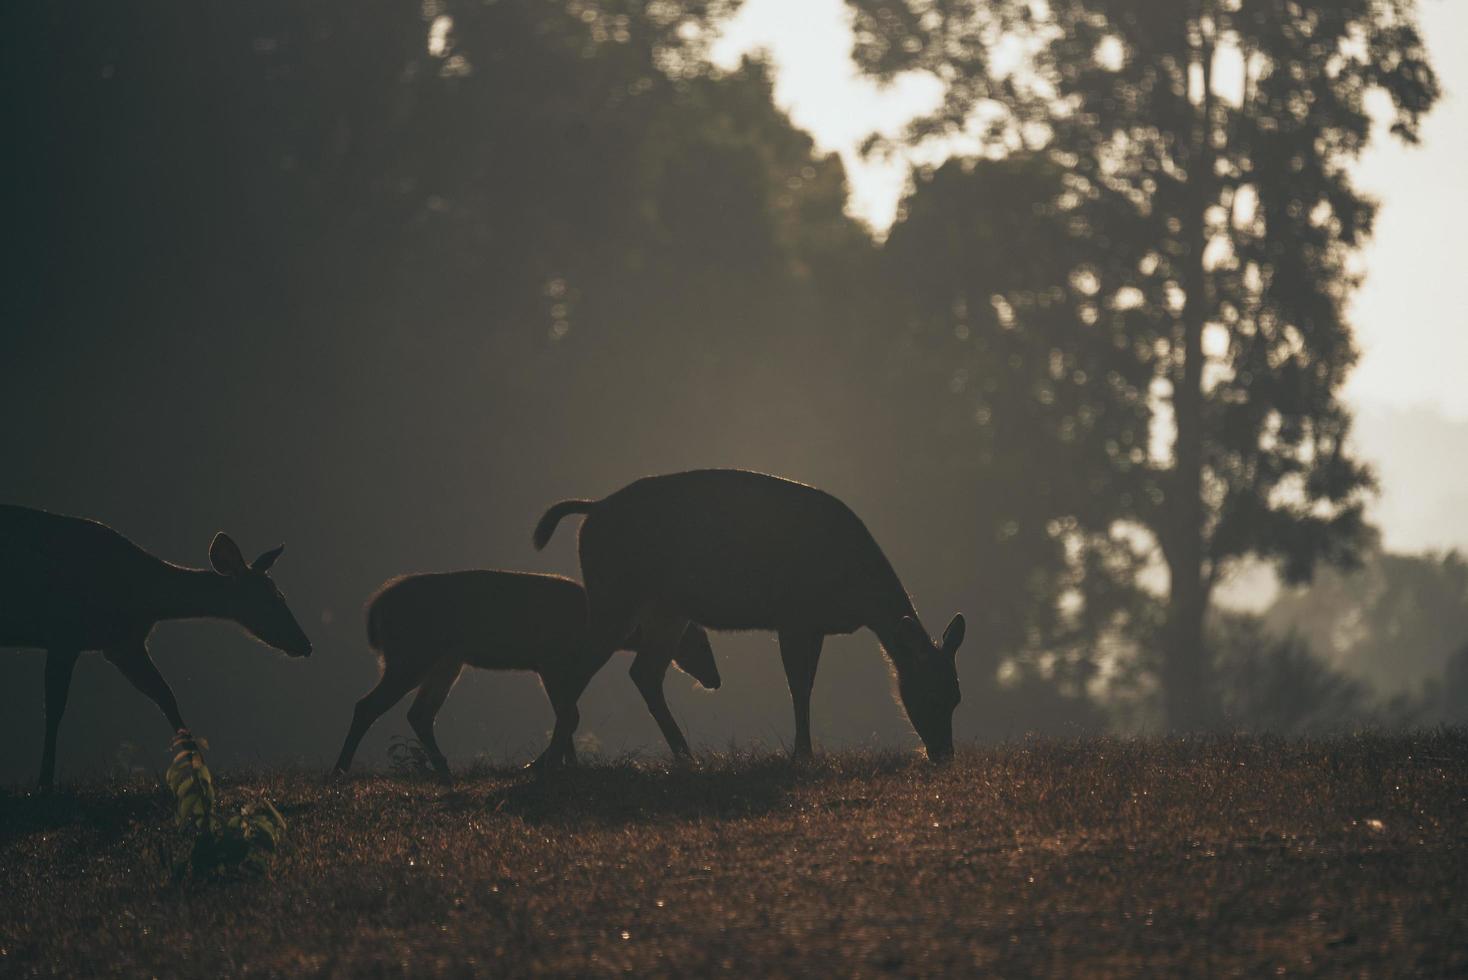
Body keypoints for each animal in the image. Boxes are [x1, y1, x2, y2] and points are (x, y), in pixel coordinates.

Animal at [1, 504, 312, 786]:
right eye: (273, 598)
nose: (306, 643)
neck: (144, 596)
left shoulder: (123, 645)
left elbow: (166, 695)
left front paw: (200, 771)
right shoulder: (64, 634)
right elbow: (54, 708)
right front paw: (44, 782)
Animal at [334, 569, 722, 774]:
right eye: (701, 643)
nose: (715, 679)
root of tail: (375, 611)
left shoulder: (555, 666)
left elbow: (569, 714)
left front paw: (565, 764)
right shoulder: (550, 661)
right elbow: (569, 715)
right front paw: (550, 764)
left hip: (445, 661)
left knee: (419, 713)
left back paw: (443, 769)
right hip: (410, 655)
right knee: (367, 705)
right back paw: (341, 769)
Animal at [534, 469, 968, 762]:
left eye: (957, 697)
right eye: (930, 695)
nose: (943, 753)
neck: (855, 589)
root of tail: (592, 510)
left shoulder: (816, 626)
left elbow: (807, 683)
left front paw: (804, 750)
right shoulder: (793, 615)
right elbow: (798, 685)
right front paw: (801, 754)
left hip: (667, 609)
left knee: (643, 672)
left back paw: (684, 756)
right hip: (615, 595)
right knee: (577, 667)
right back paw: (547, 762)